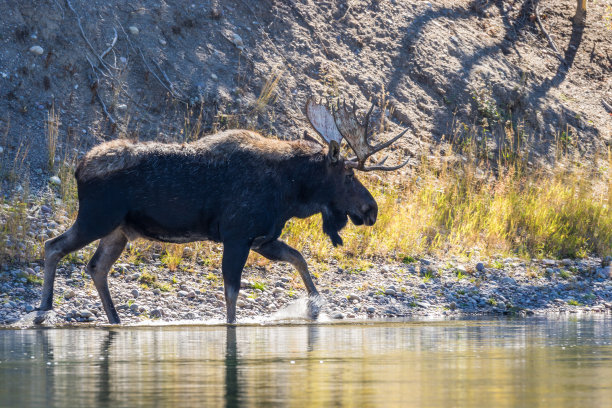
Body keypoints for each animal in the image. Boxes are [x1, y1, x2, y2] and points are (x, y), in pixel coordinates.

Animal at [40, 98, 408, 322]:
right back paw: (44, 309)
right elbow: (232, 294)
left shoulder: (262, 238)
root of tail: (78, 168)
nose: (371, 210)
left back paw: (115, 320)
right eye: (348, 175)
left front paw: (317, 307)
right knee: (52, 245)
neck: (291, 193)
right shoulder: (236, 235)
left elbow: (298, 258)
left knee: (95, 266)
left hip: (119, 231)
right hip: (96, 219)